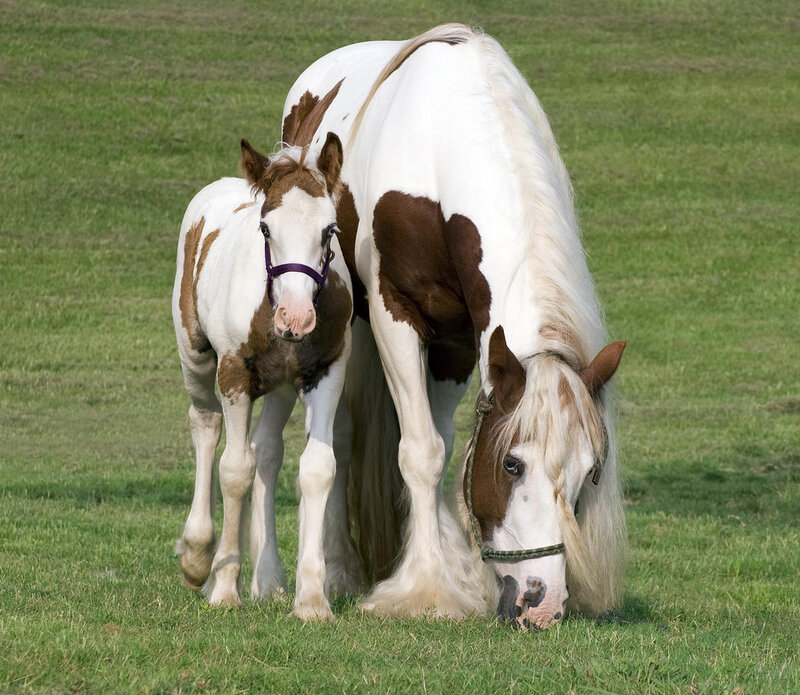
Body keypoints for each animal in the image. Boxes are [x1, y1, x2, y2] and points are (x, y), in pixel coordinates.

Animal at [172, 133, 360, 620]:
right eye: (266, 230)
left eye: (329, 230)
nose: (296, 317)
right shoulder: (234, 373)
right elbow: (235, 469)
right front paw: (223, 587)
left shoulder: (326, 371)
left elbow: (317, 468)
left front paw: (311, 600)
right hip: (196, 358)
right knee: (205, 425)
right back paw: (199, 556)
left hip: (279, 387)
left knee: (267, 450)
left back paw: (270, 579)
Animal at [270, 23, 627, 629]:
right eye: (512, 464)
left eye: (591, 472)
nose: (542, 604)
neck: (444, 144)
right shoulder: (394, 315)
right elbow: (421, 451)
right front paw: (427, 590)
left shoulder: (460, 341)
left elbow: (443, 446)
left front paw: (453, 574)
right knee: (341, 435)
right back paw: (339, 571)